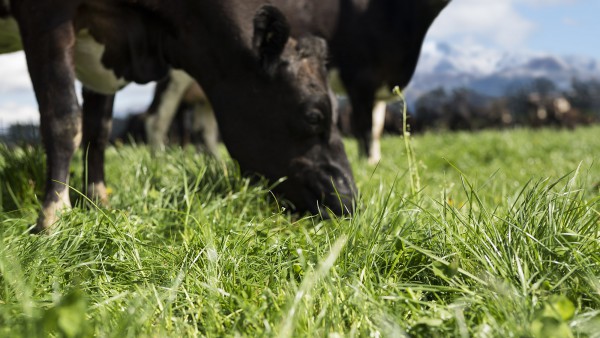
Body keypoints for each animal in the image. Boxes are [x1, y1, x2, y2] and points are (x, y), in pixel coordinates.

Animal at [0, 0, 356, 232]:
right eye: (313, 115)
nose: (348, 198)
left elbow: (97, 130)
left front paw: (99, 203)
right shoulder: (46, 16)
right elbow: (64, 120)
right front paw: (53, 216)